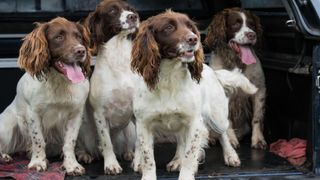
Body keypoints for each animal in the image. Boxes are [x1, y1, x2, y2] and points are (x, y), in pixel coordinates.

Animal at [0, 16, 91, 176]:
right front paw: (38, 162)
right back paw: (5, 156)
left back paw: (82, 153)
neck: (59, 81)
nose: (81, 50)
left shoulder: (76, 114)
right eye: (59, 37)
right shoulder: (33, 113)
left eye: (79, 37)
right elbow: (38, 140)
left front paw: (71, 165)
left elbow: (70, 142)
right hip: (7, 128)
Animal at [205, 7, 268, 149]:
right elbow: (227, 120)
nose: (252, 35)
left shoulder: (259, 90)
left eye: (252, 24)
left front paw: (258, 140)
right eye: (235, 24)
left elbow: (257, 117)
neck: (236, 62)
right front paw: (230, 140)